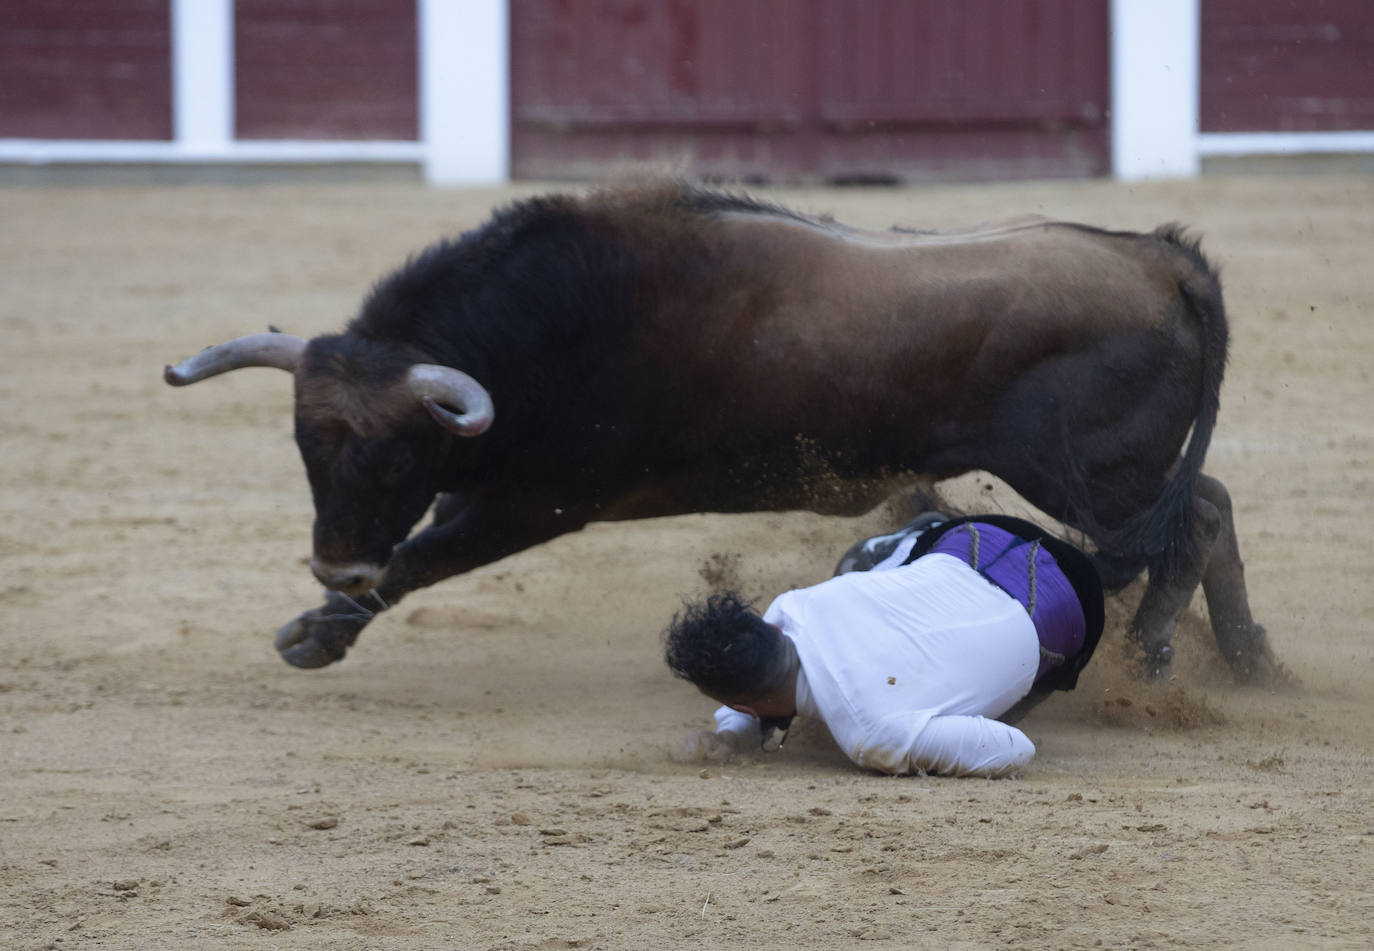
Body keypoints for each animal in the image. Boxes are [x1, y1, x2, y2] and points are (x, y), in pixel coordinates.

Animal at [166, 181, 1269, 678]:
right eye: (304, 446)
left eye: (395, 451)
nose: (335, 565)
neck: (551, 324)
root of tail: (1160, 256)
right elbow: (423, 548)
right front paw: (324, 617)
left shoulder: (540, 503)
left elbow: (427, 556)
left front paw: (320, 631)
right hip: (1117, 475)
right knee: (1210, 505)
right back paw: (1253, 661)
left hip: (1094, 477)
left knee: (1186, 526)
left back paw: (1156, 655)